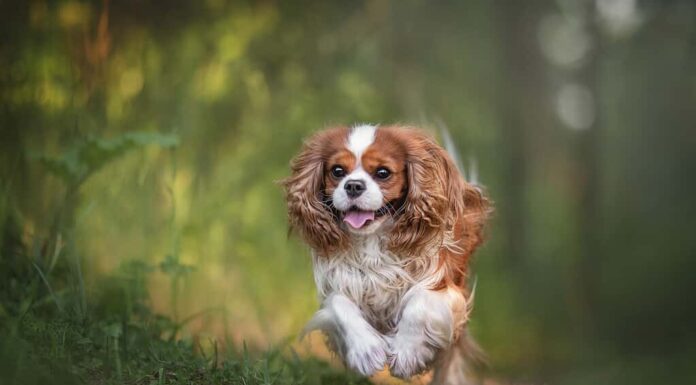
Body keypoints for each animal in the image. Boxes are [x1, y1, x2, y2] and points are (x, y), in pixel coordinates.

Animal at [282, 124, 490, 382]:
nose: (353, 185)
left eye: (382, 173)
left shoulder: (446, 289)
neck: (372, 242)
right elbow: (339, 304)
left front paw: (407, 353)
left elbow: (420, 302)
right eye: (337, 171)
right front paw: (366, 351)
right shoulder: (337, 285)